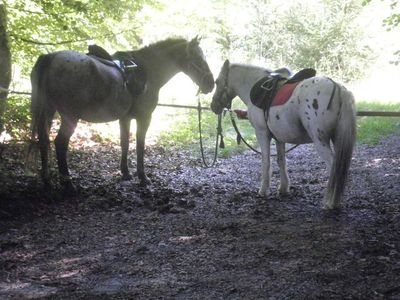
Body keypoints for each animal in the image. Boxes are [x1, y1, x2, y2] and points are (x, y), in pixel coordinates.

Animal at [29, 37, 214, 193]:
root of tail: (51, 57)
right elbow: (140, 145)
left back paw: (47, 180)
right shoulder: (144, 117)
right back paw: (67, 183)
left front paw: (125, 173)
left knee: (44, 141)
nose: (211, 84)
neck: (148, 70)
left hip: (48, 111)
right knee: (60, 143)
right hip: (70, 117)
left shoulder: (125, 118)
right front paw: (143, 177)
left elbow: (124, 143)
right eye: (198, 58)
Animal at [211, 59, 358, 210]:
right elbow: (281, 161)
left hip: (320, 140)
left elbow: (266, 162)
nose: (213, 106)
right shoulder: (279, 137)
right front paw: (283, 188)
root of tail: (338, 88)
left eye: (217, 82)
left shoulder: (262, 133)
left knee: (334, 167)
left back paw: (331, 203)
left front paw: (263, 191)